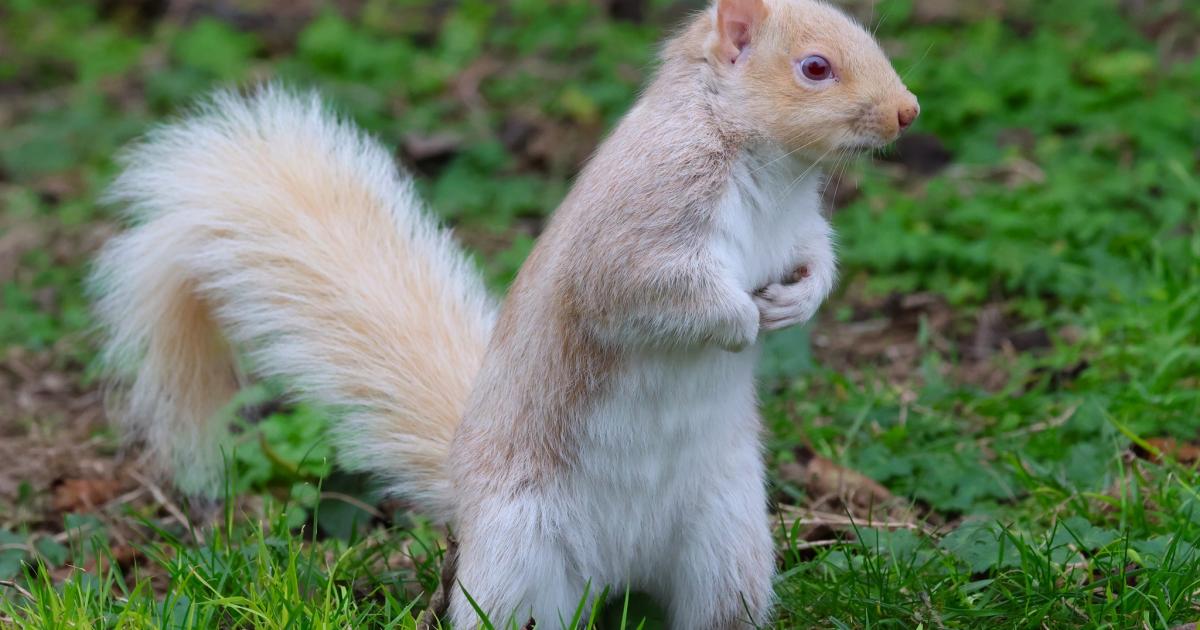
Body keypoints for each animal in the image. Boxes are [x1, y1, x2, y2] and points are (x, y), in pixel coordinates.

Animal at [90, 0, 918, 627]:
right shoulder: (641, 225)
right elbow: (647, 292)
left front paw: (797, 301)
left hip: (730, 550)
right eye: (815, 67)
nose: (907, 112)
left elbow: (817, 257)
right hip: (522, 563)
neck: (770, 172)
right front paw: (740, 320)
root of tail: (621, 568)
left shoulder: (797, 227)